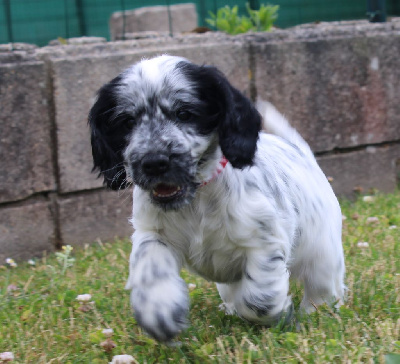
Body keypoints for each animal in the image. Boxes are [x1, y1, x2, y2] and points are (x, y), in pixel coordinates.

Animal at [89, 54, 346, 342]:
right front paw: (159, 311)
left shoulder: (264, 240)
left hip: (323, 255)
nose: (154, 162)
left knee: (322, 288)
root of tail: (303, 154)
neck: (197, 199)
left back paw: (316, 312)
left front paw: (279, 313)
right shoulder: (153, 233)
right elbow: (151, 269)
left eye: (184, 113)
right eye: (127, 122)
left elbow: (258, 299)